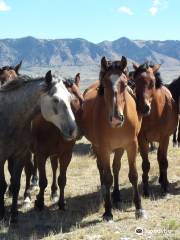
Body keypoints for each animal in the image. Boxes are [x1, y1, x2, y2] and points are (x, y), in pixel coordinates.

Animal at [0, 71, 79, 223]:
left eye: (71, 98)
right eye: (55, 99)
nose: (72, 130)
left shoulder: (20, 155)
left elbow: (16, 183)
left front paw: (14, 215)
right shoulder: (3, 157)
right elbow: (3, 184)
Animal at [81, 56, 146, 221]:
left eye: (125, 83)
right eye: (104, 85)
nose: (116, 118)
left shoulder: (131, 145)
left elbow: (133, 175)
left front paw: (139, 208)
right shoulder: (104, 148)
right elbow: (108, 176)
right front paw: (108, 211)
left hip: (119, 148)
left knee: (116, 167)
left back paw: (116, 195)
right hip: (98, 147)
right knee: (102, 169)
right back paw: (106, 192)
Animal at [133, 62, 178, 196]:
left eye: (152, 82)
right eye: (135, 82)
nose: (143, 107)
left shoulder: (164, 138)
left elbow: (163, 161)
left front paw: (165, 187)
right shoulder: (142, 139)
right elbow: (145, 164)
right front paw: (146, 190)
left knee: (161, 158)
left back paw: (163, 180)